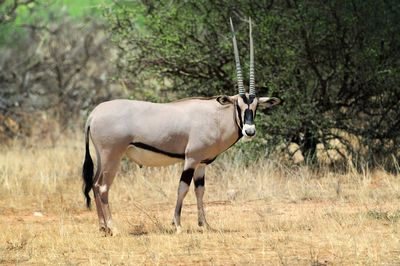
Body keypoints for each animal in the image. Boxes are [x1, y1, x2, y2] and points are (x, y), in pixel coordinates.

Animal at [81, 18, 282, 235]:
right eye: (239, 105)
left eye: (256, 106)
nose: (249, 131)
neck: (215, 116)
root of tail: (93, 114)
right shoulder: (191, 159)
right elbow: (182, 188)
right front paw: (177, 224)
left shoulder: (202, 163)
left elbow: (200, 190)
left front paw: (205, 224)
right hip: (113, 157)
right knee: (102, 187)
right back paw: (113, 227)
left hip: (103, 157)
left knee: (94, 184)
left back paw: (103, 227)